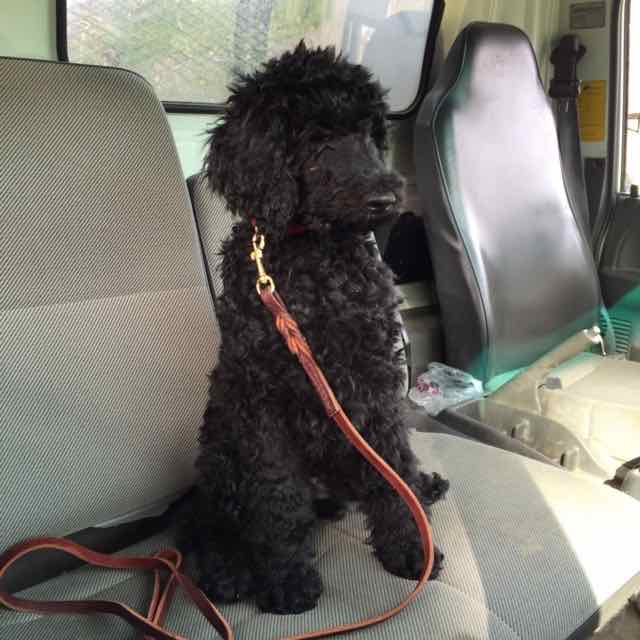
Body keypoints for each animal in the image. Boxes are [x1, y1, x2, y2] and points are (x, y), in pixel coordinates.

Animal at [188, 42, 448, 615]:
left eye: (370, 132)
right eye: (317, 137)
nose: (384, 200)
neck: (315, 256)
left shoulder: (373, 379)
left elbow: (391, 466)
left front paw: (409, 545)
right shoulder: (261, 398)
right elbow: (279, 499)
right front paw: (286, 579)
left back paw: (423, 484)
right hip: (221, 446)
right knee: (206, 521)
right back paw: (227, 571)